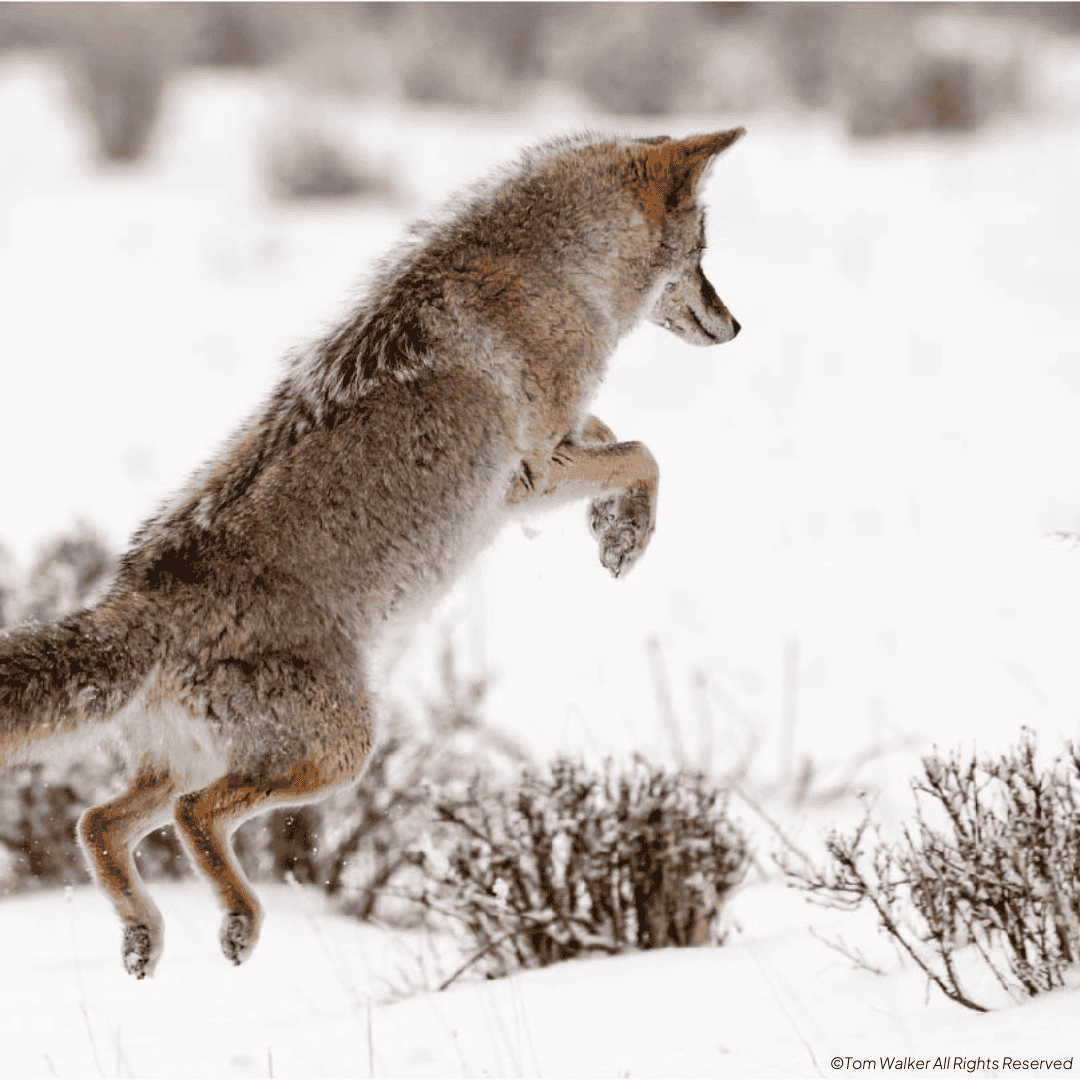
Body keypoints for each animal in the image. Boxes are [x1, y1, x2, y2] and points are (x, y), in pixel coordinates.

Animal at [0, 128, 744, 978]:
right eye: (704, 253)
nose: (734, 324)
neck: (552, 268)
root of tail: (138, 601)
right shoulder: (526, 480)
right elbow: (643, 452)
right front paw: (626, 536)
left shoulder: (556, 449)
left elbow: (615, 436)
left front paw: (611, 527)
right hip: (338, 755)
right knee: (194, 815)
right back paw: (239, 923)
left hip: (197, 765)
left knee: (98, 822)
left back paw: (143, 937)